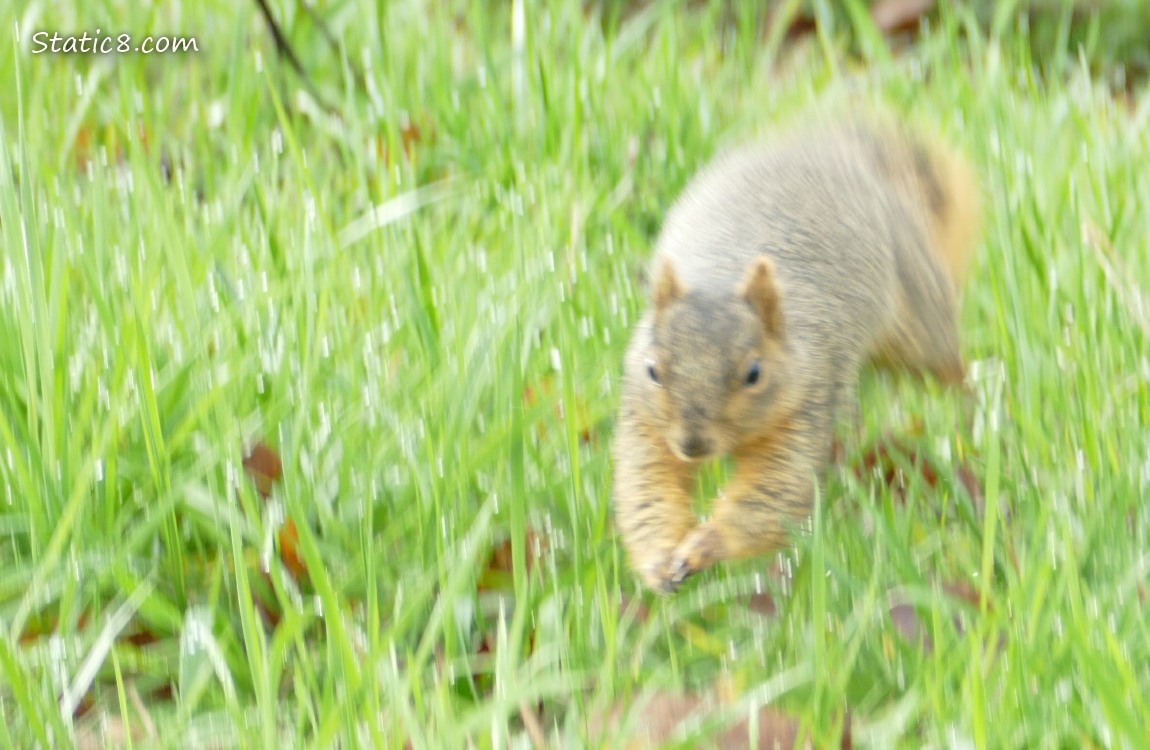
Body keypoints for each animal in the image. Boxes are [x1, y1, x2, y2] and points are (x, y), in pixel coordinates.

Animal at [613, 118, 979, 593]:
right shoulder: (645, 419)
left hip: (917, 309)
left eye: (754, 373)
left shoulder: (809, 398)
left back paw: (968, 404)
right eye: (653, 370)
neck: (719, 278)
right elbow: (645, 490)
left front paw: (703, 546)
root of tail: (836, 152)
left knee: (943, 363)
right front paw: (660, 561)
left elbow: (776, 492)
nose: (693, 444)